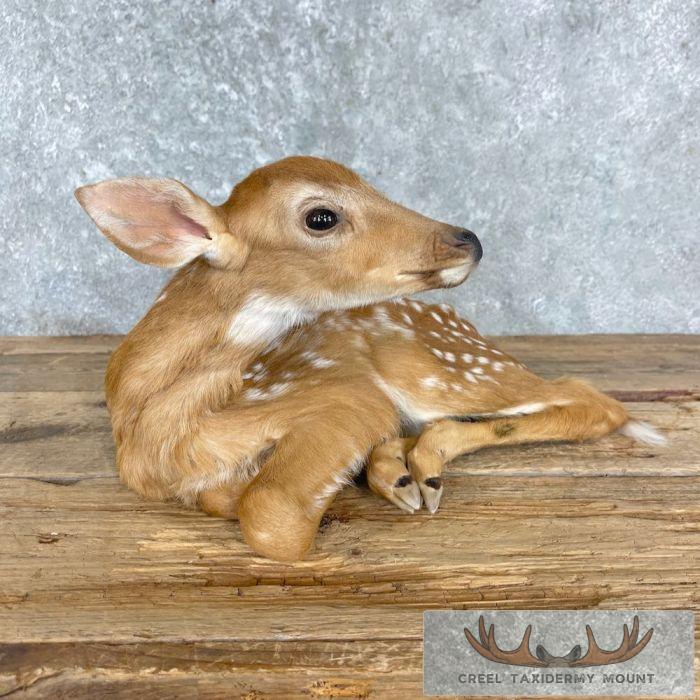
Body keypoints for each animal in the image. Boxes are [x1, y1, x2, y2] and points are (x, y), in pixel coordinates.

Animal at [75, 156, 665, 561]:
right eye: (321, 217)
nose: (467, 240)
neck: (161, 429)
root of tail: (467, 327)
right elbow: (230, 499)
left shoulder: (343, 397)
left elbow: (268, 513)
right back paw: (399, 474)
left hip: (442, 369)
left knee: (591, 400)